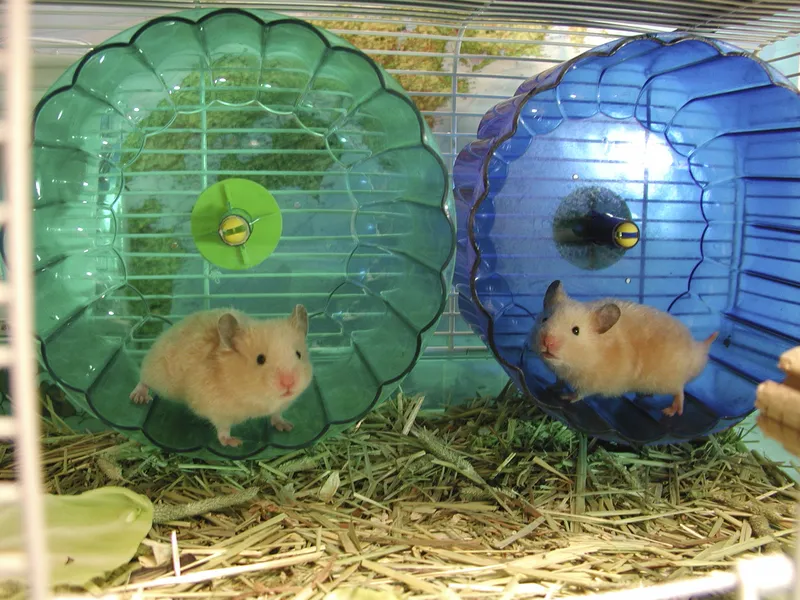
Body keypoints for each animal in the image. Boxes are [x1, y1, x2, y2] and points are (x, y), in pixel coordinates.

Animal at [129, 305, 313, 447]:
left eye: (298, 354)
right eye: (260, 359)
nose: (289, 383)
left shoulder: (280, 405)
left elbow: (277, 414)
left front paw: (287, 426)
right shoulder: (217, 409)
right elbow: (223, 429)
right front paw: (235, 442)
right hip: (156, 371)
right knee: (143, 380)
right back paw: (138, 398)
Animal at [532, 280, 718, 417]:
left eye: (575, 330)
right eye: (544, 319)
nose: (547, 341)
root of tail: (698, 351)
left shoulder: (592, 382)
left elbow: (580, 393)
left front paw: (565, 397)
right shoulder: (562, 374)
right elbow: (559, 381)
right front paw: (550, 387)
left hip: (668, 381)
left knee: (680, 392)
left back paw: (670, 411)